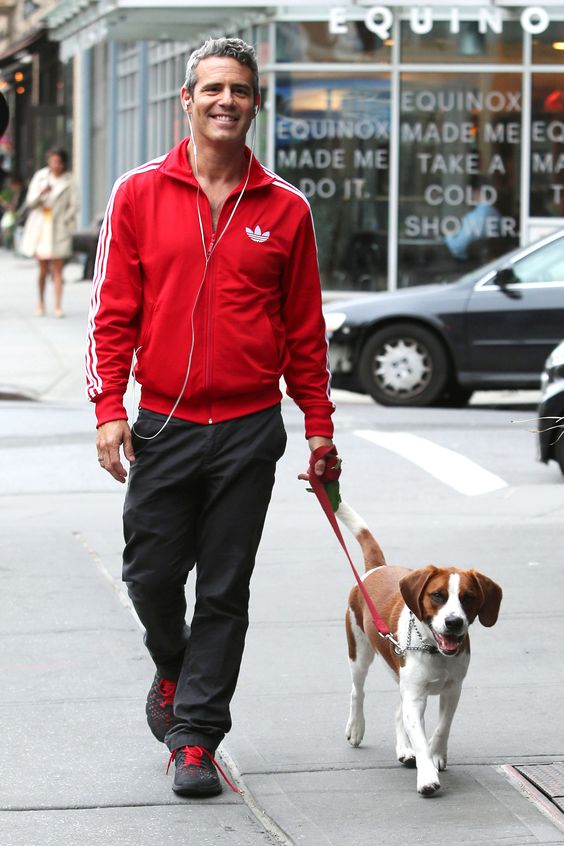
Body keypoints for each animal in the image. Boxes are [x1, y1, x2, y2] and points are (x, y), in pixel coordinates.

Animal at [338, 500, 504, 800]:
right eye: (437, 595)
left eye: (468, 598)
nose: (454, 622)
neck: (433, 649)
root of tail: (377, 568)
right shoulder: (415, 696)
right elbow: (419, 734)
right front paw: (427, 776)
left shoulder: (452, 690)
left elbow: (441, 727)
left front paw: (436, 753)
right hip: (359, 651)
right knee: (358, 690)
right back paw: (356, 726)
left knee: (397, 710)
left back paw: (405, 750)